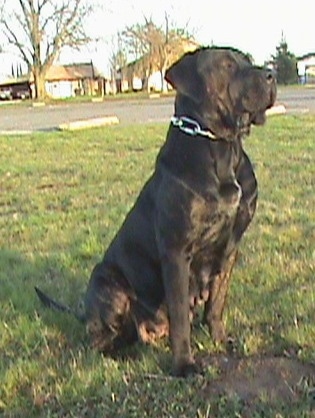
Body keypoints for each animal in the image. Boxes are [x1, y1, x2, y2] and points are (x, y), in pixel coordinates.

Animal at [36, 45, 276, 376]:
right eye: (227, 65)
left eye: (246, 60)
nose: (271, 75)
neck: (222, 148)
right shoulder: (176, 251)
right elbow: (180, 316)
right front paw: (185, 365)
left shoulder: (230, 247)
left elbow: (217, 303)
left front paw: (220, 339)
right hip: (106, 280)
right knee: (99, 340)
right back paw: (119, 356)